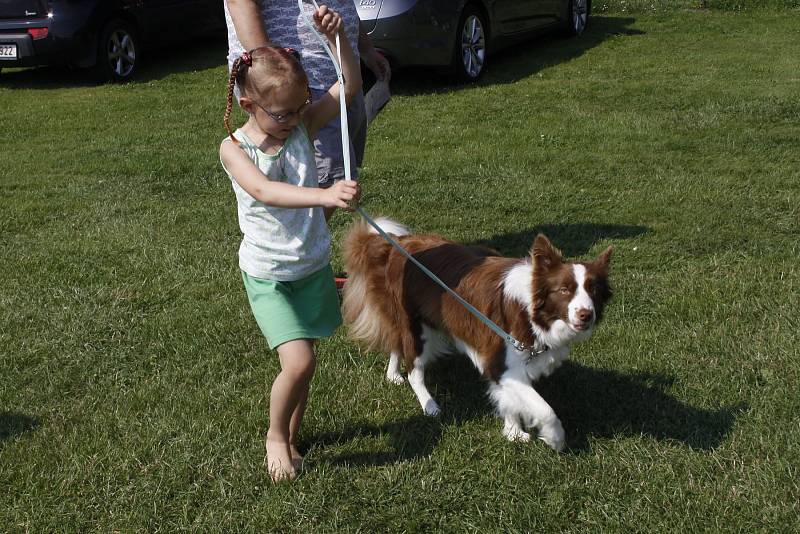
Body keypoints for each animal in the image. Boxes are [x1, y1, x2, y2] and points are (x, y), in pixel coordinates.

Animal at [342, 218, 612, 452]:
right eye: (564, 290)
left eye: (594, 290)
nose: (586, 315)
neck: (532, 311)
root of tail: (399, 242)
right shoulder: (501, 360)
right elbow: (545, 409)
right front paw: (555, 438)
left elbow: (509, 400)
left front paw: (513, 432)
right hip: (416, 326)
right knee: (415, 371)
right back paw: (430, 406)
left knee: (397, 343)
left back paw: (393, 374)